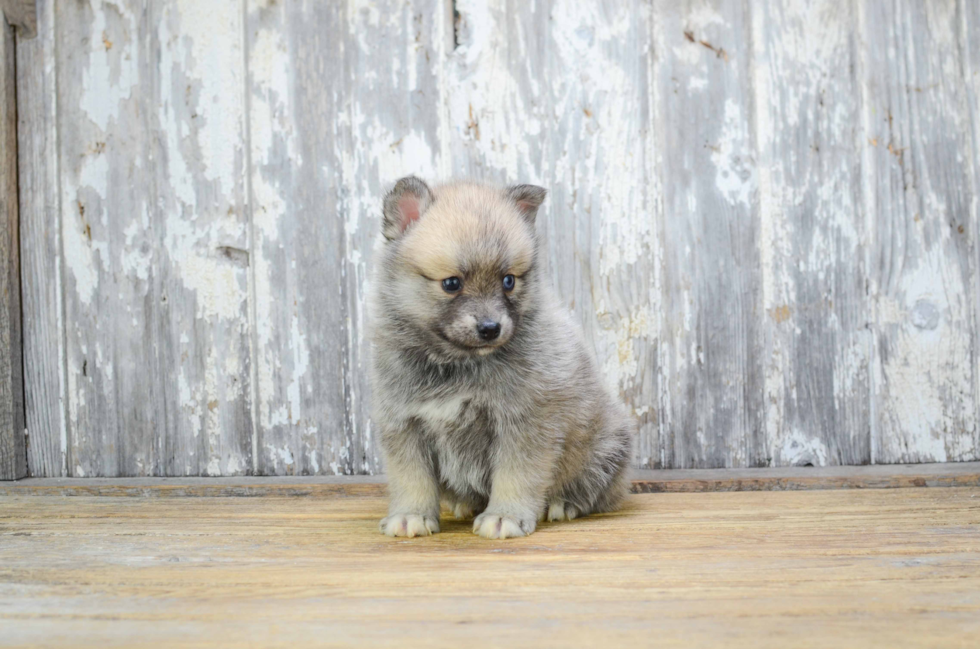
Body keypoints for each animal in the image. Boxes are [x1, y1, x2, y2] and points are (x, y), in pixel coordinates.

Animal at [370, 175, 636, 540]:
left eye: (508, 280)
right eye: (451, 283)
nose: (490, 328)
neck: (456, 364)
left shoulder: (521, 423)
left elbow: (515, 476)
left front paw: (505, 516)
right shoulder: (404, 424)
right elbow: (411, 478)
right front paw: (411, 515)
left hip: (606, 448)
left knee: (598, 490)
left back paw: (565, 504)